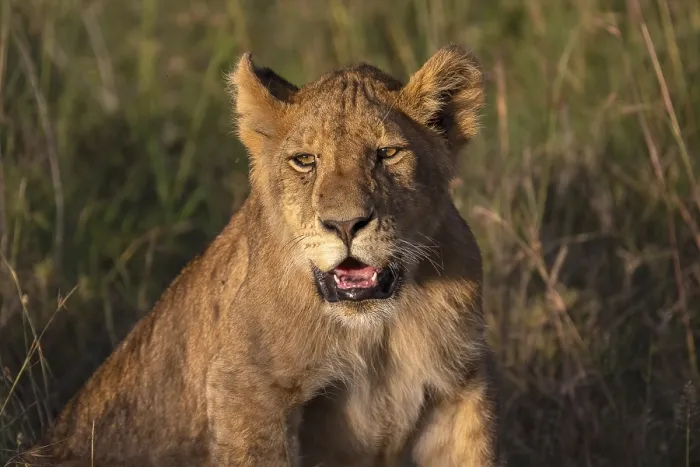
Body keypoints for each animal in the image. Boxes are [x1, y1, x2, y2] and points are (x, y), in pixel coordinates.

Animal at [22, 44, 500, 466]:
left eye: (388, 153)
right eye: (305, 160)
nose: (345, 225)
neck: (374, 329)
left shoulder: (458, 388)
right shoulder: (247, 389)